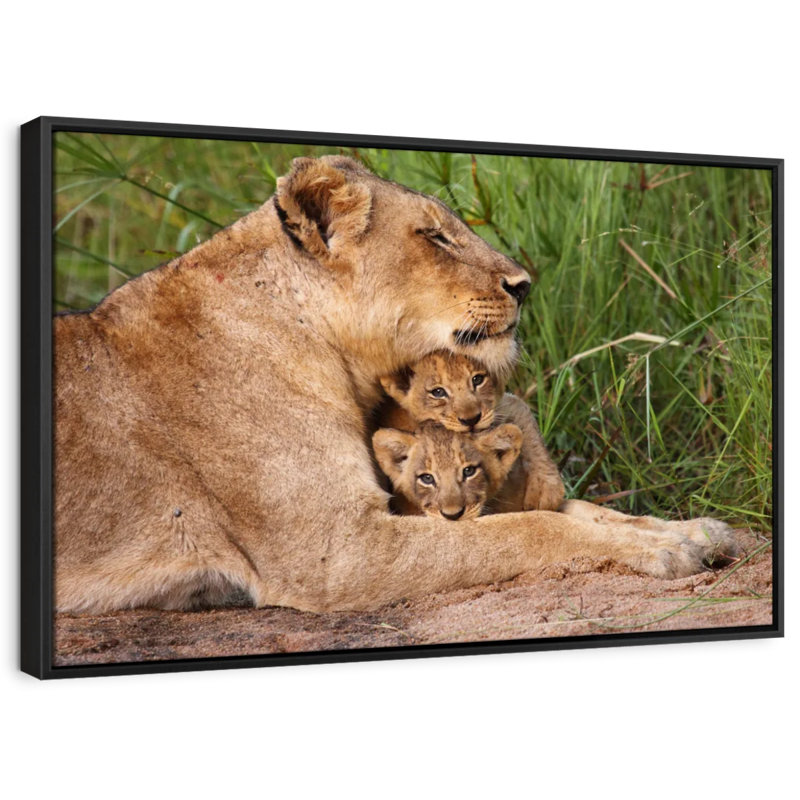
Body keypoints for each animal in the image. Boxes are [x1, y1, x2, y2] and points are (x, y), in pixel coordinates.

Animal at [376, 350, 565, 511]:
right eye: (438, 392)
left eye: (477, 379)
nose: (471, 420)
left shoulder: (500, 409)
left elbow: (523, 417)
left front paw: (546, 491)